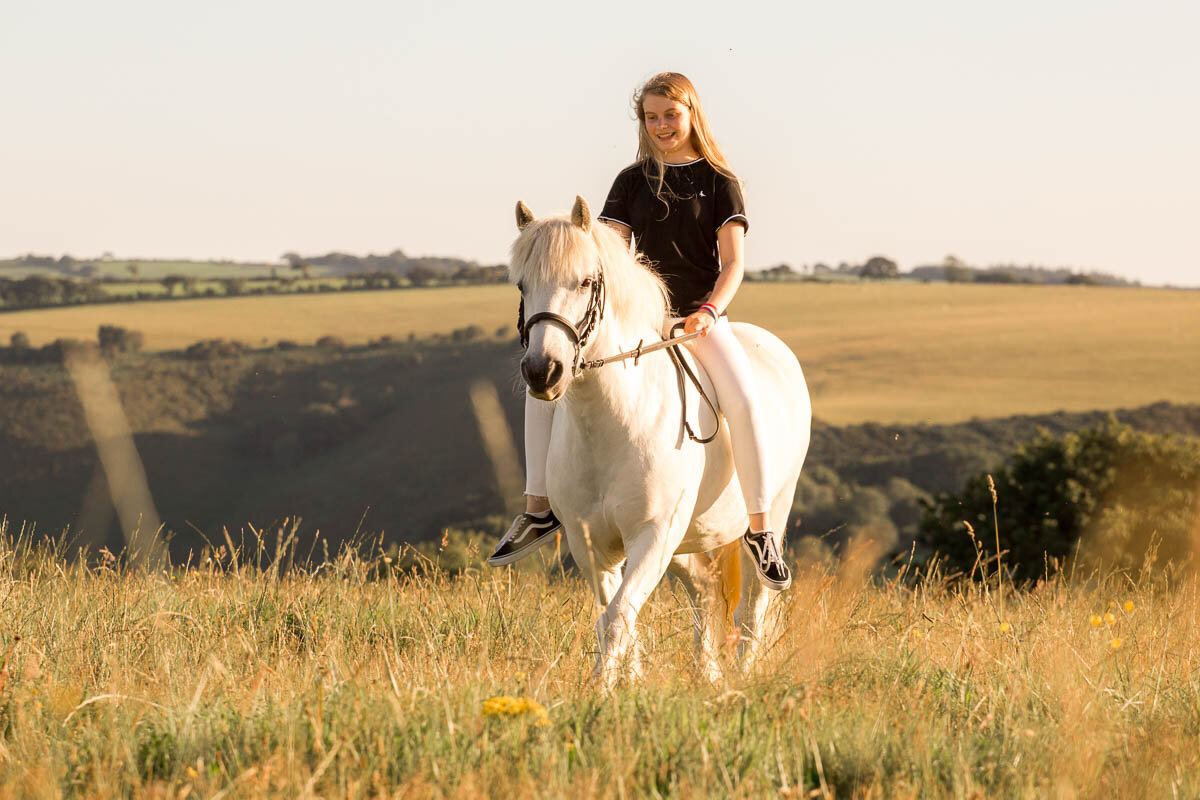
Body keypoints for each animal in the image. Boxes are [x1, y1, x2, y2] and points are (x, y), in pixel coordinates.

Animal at [511, 196, 811, 686]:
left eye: (585, 281)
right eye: (522, 284)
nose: (543, 372)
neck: (611, 421)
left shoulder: (653, 536)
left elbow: (618, 618)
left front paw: (600, 691)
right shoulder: (592, 546)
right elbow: (616, 616)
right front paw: (625, 684)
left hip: (771, 513)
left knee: (754, 606)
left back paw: (741, 677)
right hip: (686, 537)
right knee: (704, 591)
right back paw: (708, 674)